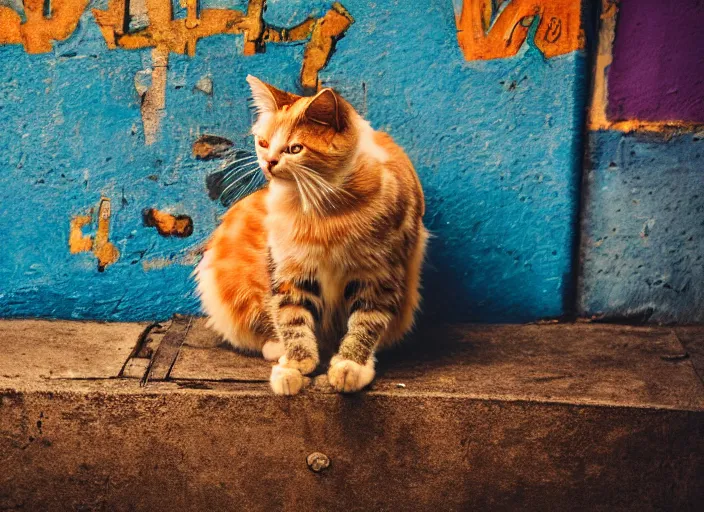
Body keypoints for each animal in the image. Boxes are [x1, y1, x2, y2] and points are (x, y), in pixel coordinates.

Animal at [198, 76, 428, 396]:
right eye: (263, 142)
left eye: (295, 148)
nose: (269, 162)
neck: (324, 212)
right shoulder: (290, 268)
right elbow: (291, 317)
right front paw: (295, 363)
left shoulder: (380, 274)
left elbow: (366, 322)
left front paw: (351, 365)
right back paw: (276, 349)